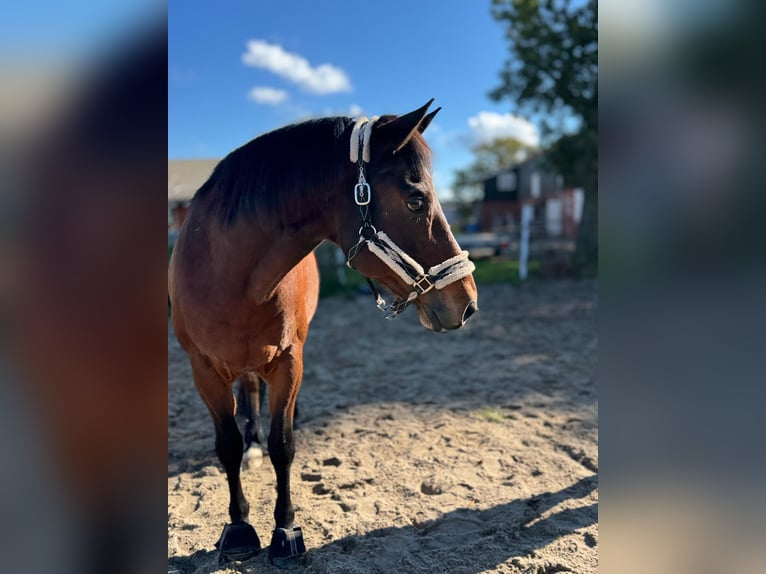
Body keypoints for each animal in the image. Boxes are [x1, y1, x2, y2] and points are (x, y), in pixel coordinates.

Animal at [168, 100, 478, 566]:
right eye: (416, 199)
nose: (467, 301)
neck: (227, 273)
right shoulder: (202, 370)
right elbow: (227, 446)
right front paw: (239, 527)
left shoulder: (289, 361)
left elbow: (283, 444)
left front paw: (284, 530)